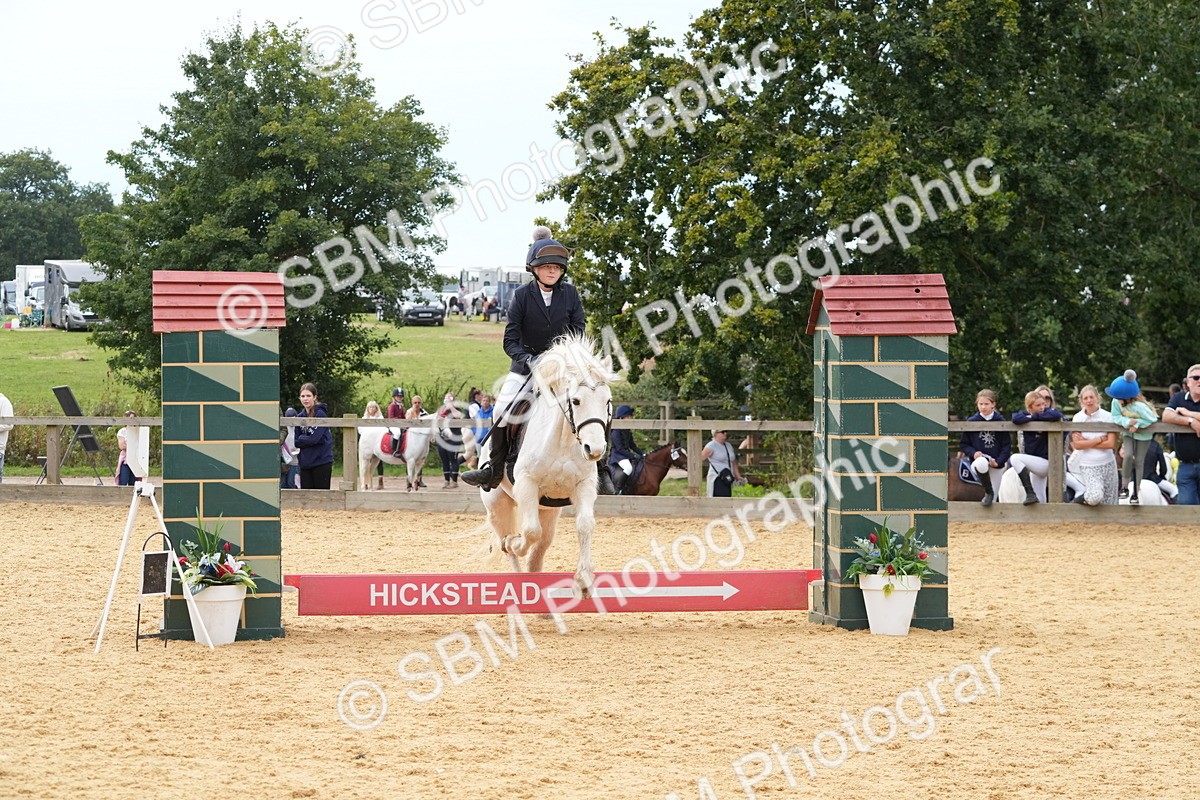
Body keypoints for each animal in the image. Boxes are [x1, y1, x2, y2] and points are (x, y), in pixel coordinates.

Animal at [480, 333, 617, 598]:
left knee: (540, 548)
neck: (564, 439)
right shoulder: (526, 483)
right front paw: (515, 542)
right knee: (507, 542)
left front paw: (584, 579)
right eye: (576, 401)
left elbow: (585, 525)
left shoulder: (584, 485)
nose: (594, 450)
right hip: (496, 503)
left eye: (607, 401)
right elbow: (529, 531)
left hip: (549, 510)